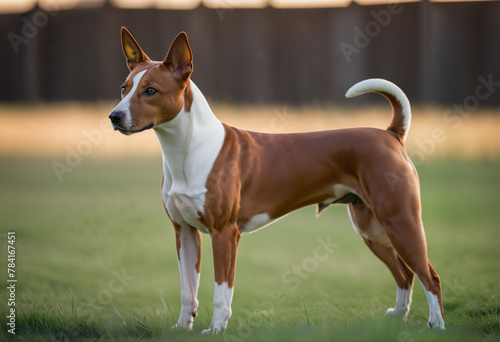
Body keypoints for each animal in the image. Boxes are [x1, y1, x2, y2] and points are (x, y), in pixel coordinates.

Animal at [109, 28, 446, 332]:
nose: (114, 116)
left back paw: (437, 325)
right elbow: (187, 291)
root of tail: (391, 134)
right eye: (124, 88)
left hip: (400, 222)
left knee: (430, 276)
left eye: (151, 90)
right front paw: (182, 328)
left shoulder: (224, 234)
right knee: (405, 275)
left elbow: (221, 292)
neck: (187, 150)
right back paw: (398, 318)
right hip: (372, 229)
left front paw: (217, 329)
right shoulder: (185, 233)